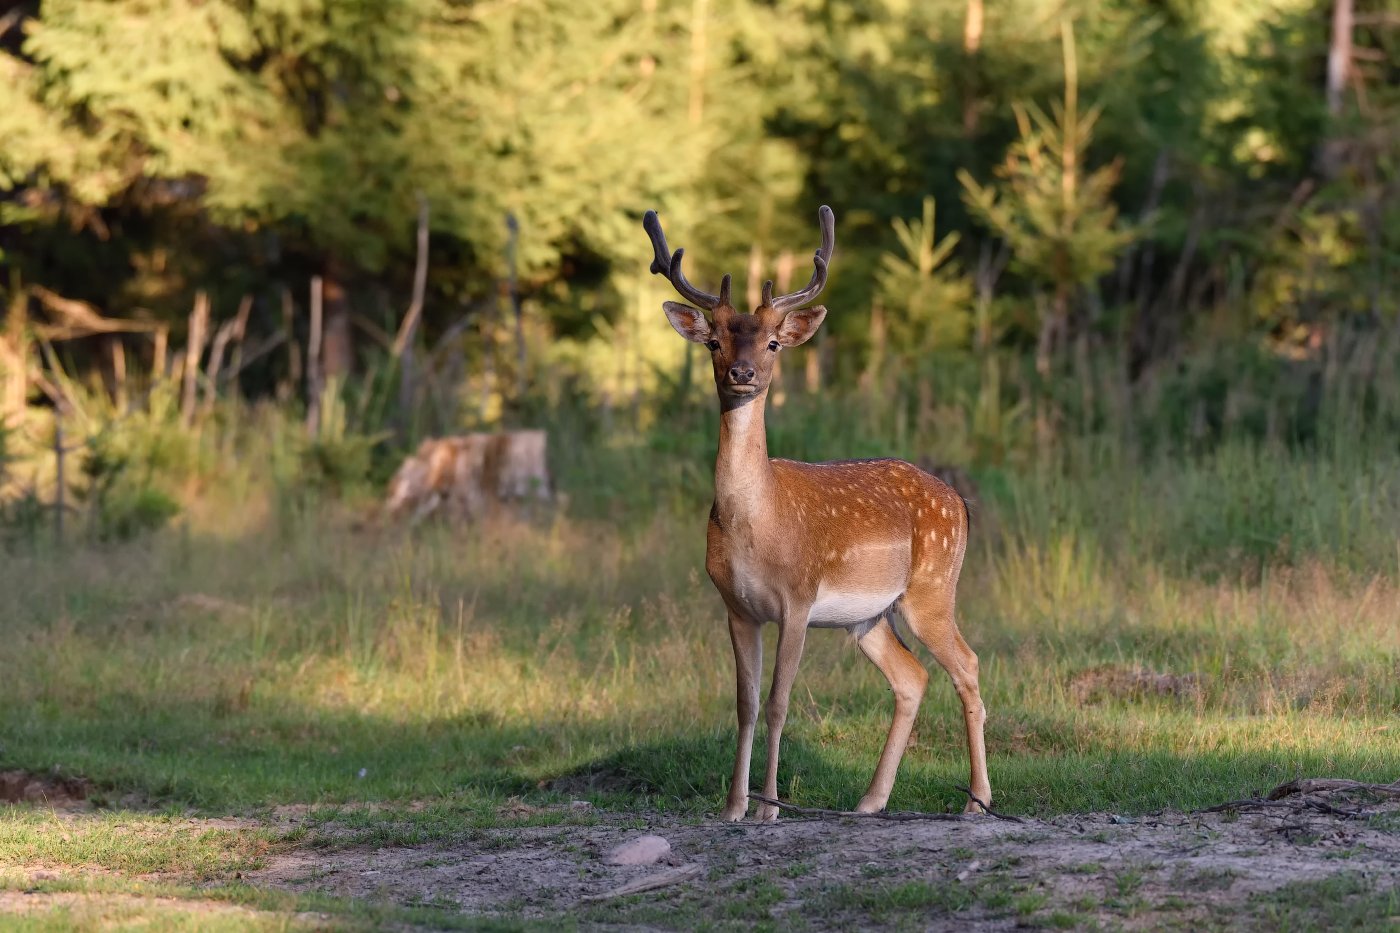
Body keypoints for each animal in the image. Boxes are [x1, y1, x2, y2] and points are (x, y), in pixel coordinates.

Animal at [646, 205, 996, 823]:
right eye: (714, 342)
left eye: (773, 344)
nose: (742, 374)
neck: (755, 526)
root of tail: (959, 501)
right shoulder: (736, 607)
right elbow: (745, 703)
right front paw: (733, 807)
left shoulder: (798, 598)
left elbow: (780, 701)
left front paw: (769, 807)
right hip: (870, 616)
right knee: (913, 677)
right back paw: (871, 800)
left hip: (932, 587)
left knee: (969, 664)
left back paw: (978, 800)